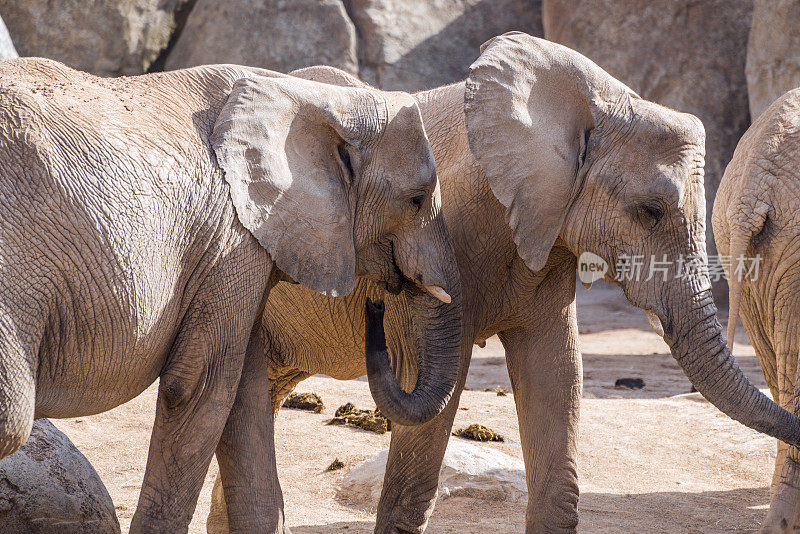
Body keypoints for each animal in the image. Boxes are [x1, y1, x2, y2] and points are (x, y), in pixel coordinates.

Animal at [0, 56, 462, 532]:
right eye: (416, 199)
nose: (376, 305)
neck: (312, 95)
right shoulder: (230, 245)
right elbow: (201, 388)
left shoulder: (244, 250)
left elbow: (244, 392)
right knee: (12, 418)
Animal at [206, 31, 800, 532]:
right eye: (651, 211)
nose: (376, 303)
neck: (589, 98)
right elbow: (429, 397)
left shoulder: (546, 231)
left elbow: (556, 369)